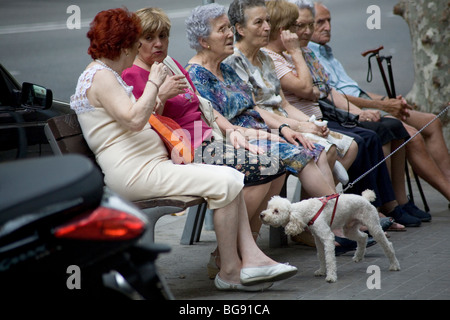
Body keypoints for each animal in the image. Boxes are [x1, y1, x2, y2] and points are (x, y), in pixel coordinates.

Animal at [260, 190, 400, 282]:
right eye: (268, 207)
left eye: (276, 211)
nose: (262, 215)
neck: (307, 211)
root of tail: (365, 198)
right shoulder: (317, 238)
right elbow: (321, 256)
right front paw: (322, 271)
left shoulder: (327, 237)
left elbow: (329, 258)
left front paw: (331, 276)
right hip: (349, 229)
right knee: (363, 237)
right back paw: (358, 256)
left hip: (373, 225)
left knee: (387, 245)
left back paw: (394, 265)